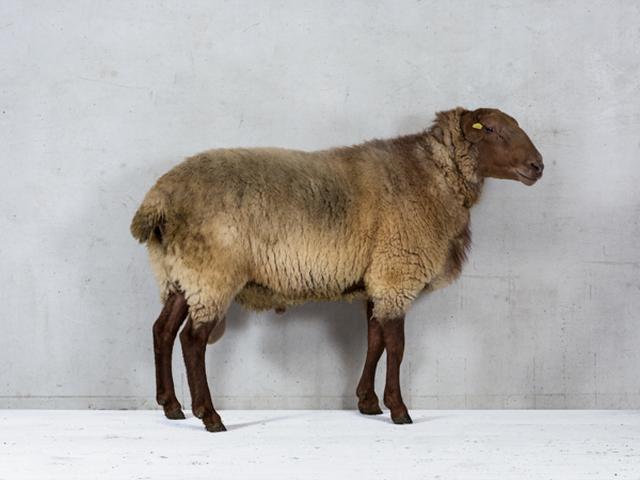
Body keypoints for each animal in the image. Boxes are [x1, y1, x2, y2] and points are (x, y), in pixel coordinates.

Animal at [131, 107, 544, 432]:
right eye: (490, 129)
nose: (538, 166)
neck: (432, 178)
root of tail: (158, 198)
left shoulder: (378, 279)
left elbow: (375, 340)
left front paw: (368, 403)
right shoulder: (396, 274)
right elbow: (397, 346)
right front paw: (399, 410)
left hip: (180, 274)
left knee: (162, 331)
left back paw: (172, 408)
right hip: (211, 273)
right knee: (192, 340)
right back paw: (210, 416)